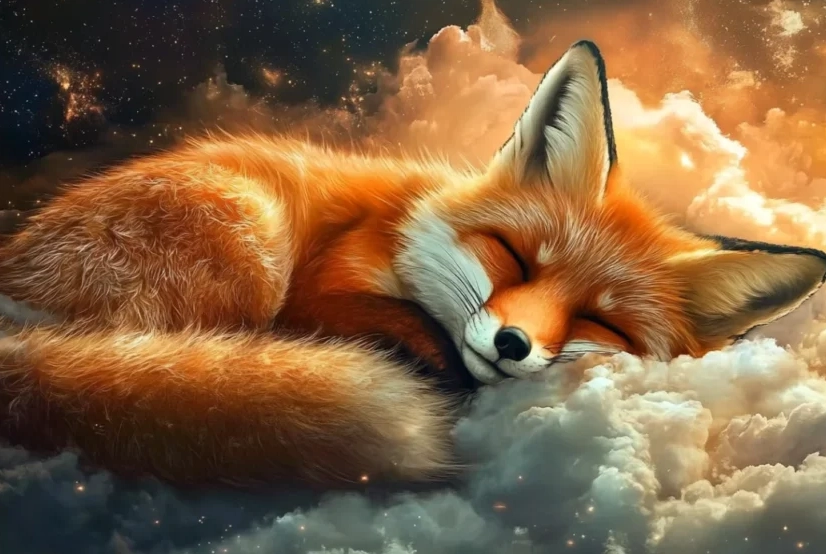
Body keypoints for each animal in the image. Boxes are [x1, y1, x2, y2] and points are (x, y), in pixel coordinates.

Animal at [0, 40, 825, 488]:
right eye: (512, 256)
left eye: (602, 322)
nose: (512, 345)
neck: (406, 220)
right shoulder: (323, 280)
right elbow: (370, 320)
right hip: (248, 231)